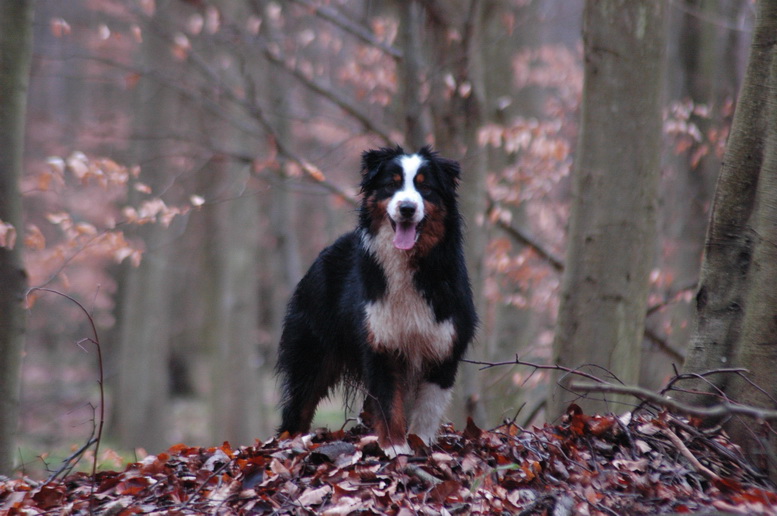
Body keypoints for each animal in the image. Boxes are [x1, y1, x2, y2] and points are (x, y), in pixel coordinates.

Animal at [276, 146, 477, 457]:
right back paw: (291, 441)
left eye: (425, 187)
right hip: (311, 354)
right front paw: (396, 448)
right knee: (298, 407)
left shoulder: (444, 344)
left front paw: (420, 443)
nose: (407, 208)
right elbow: (388, 401)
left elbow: (428, 407)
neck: (409, 264)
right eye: (392, 184)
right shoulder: (381, 341)